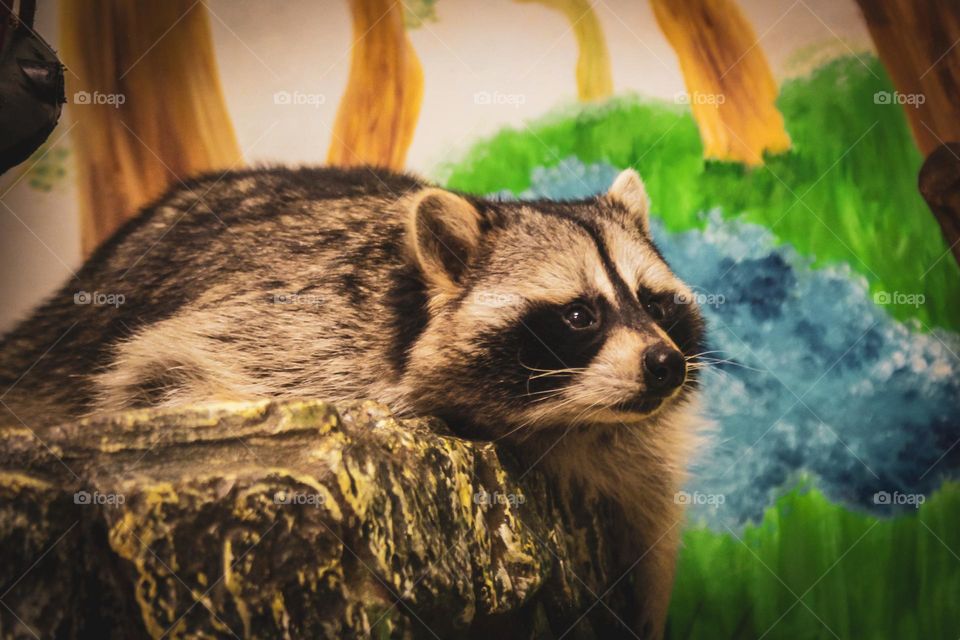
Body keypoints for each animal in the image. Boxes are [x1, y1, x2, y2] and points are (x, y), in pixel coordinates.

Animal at [0, 165, 705, 637]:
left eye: (653, 303)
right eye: (581, 315)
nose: (666, 364)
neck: (564, 423)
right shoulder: (294, 338)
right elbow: (166, 373)